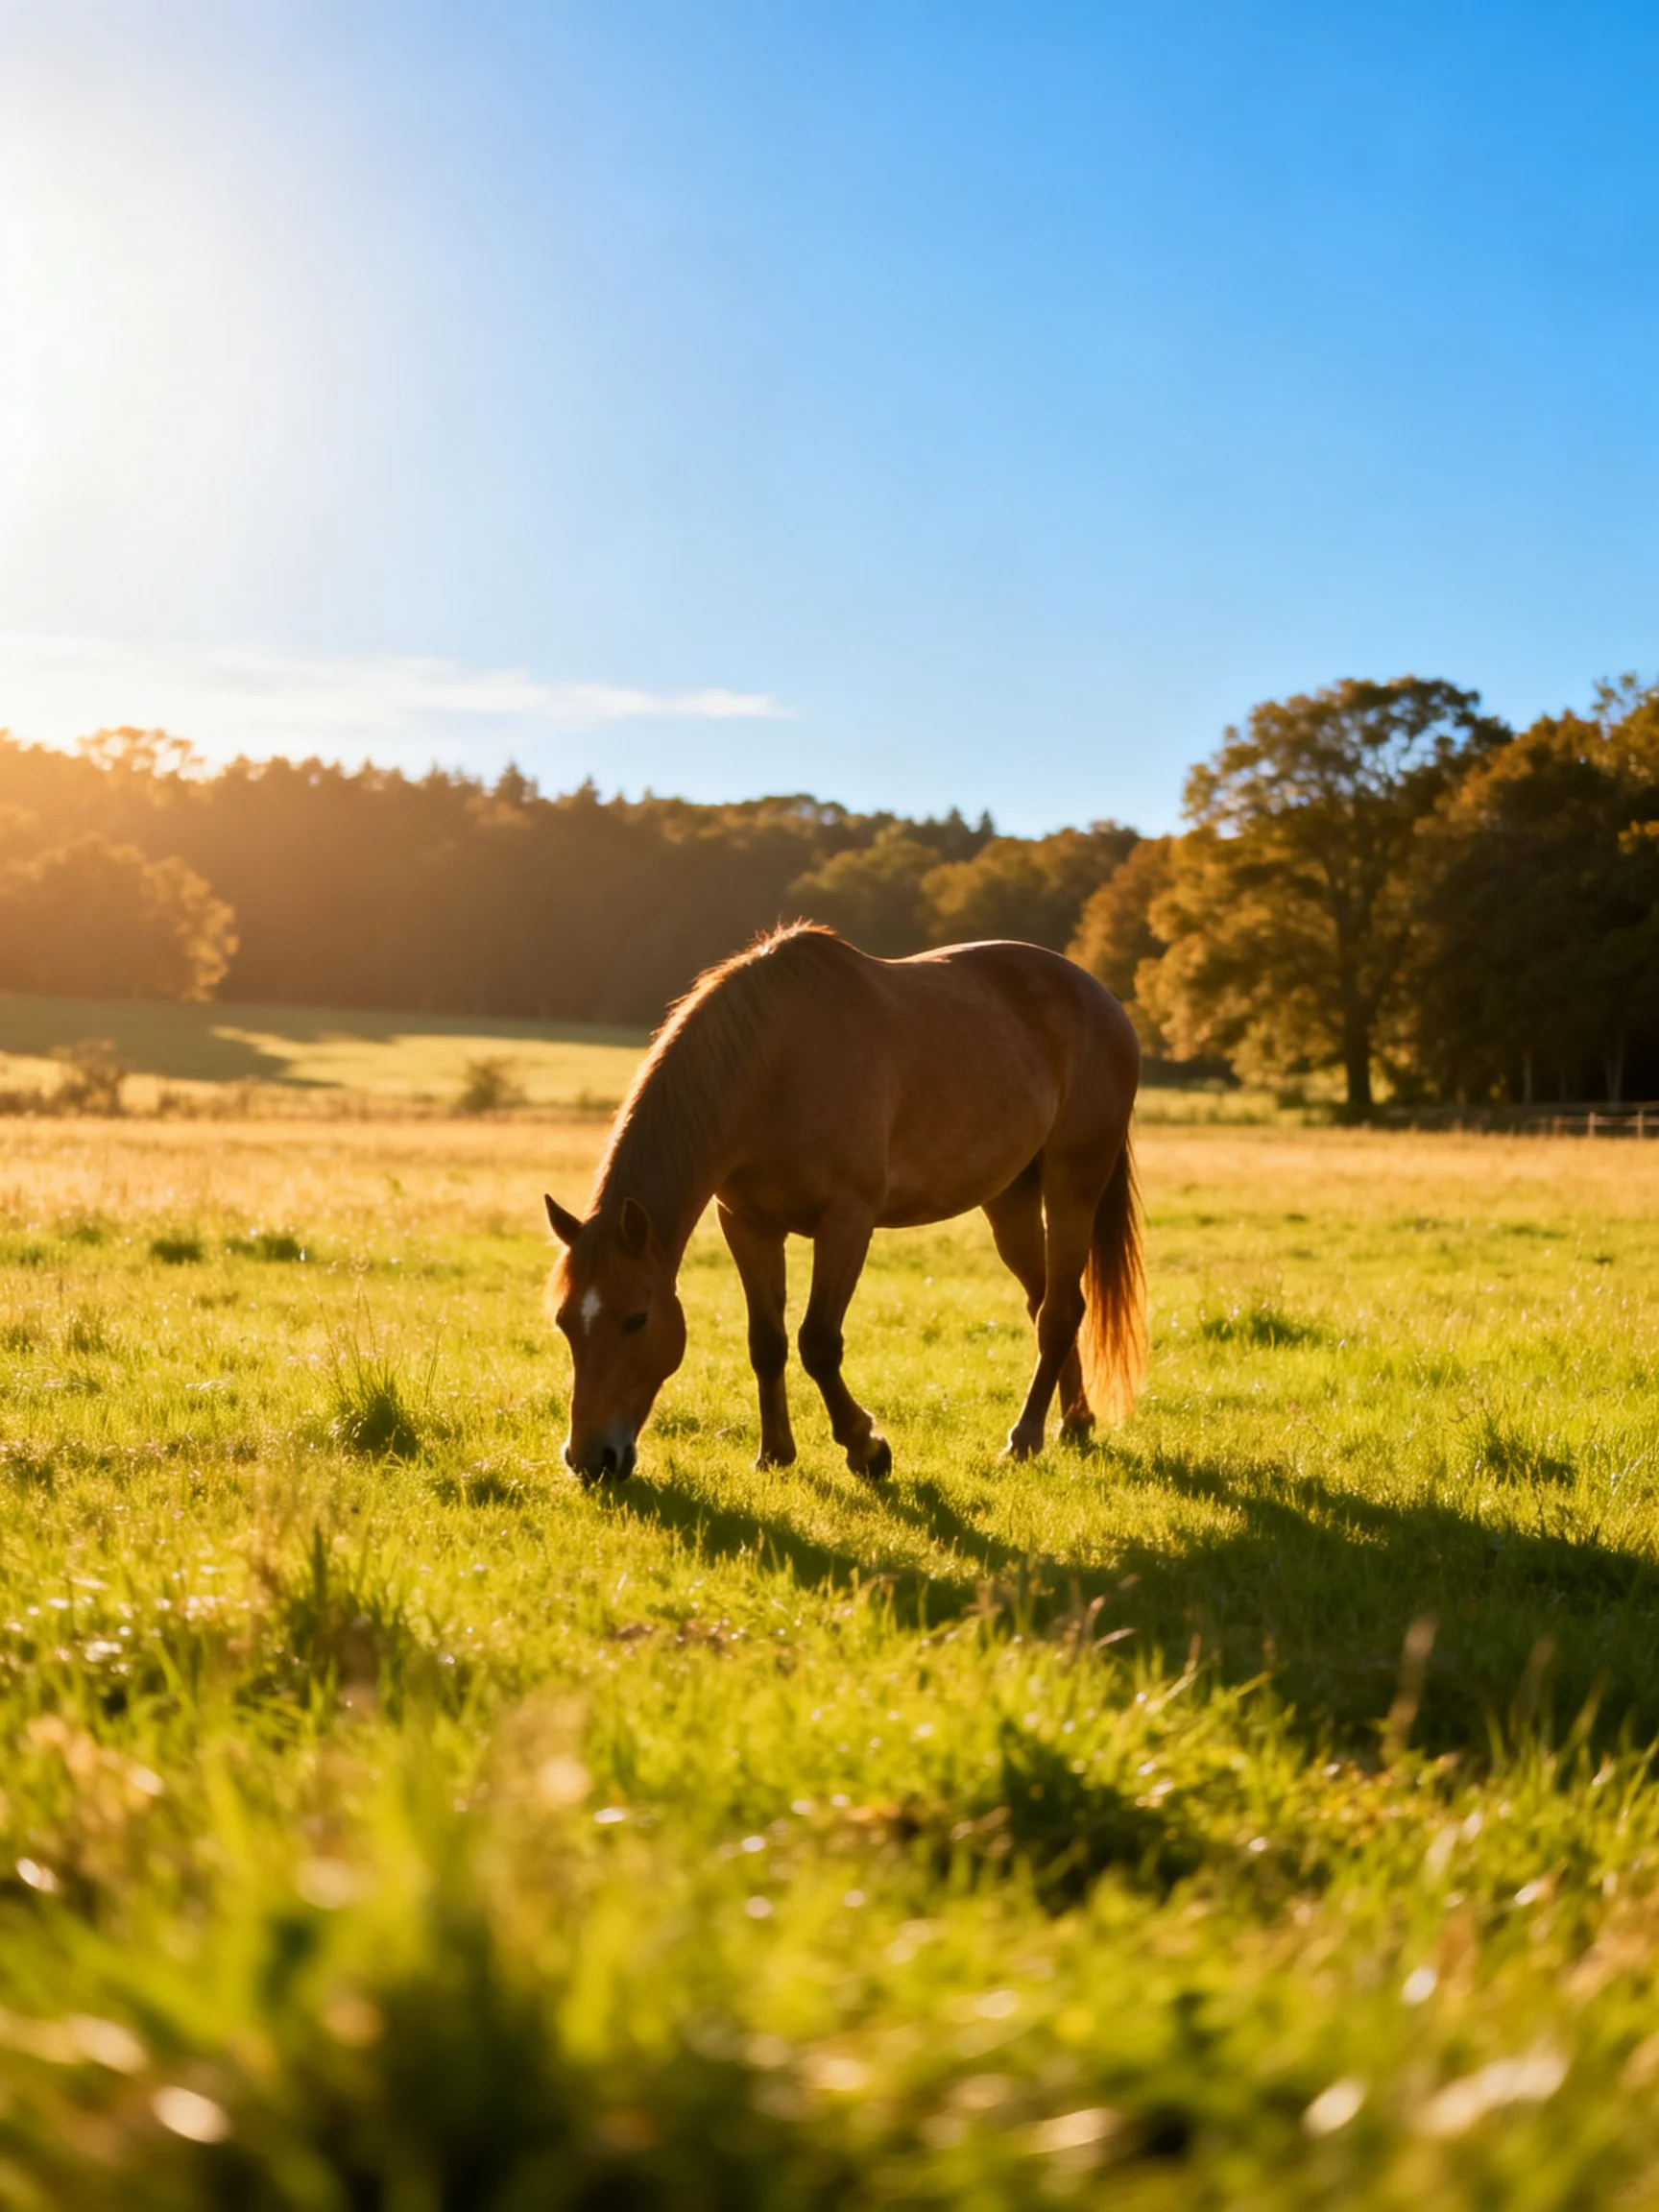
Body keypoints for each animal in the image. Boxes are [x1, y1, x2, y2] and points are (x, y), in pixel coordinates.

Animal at [544, 923, 1143, 1483]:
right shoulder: (747, 1225)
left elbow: (818, 1342)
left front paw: (867, 1448)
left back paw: (1025, 1438)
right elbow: (767, 1341)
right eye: (565, 1321)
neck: (775, 1065)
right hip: (1010, 1200)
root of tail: (1100, 998)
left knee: (1059, 1311)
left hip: (1072, 1186)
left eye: (637, 1319)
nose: (591, 1459)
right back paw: (1074, 1421)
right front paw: (775, 1454)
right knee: (1048, 1302)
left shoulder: (847, 1221)